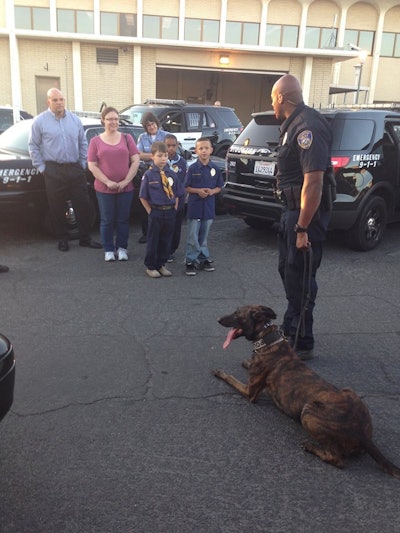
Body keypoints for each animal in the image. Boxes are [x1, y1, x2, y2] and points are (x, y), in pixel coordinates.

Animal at [214, 304, 400, 478]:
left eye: (237, 313)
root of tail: (363, 435)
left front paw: (220, 372)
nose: (218, 319)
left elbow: (230, 378)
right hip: (349, 391)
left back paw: (311, 447)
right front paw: (247, 362)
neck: (267, 338)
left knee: (336, 459)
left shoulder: (249, 392)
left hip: (308, 411)